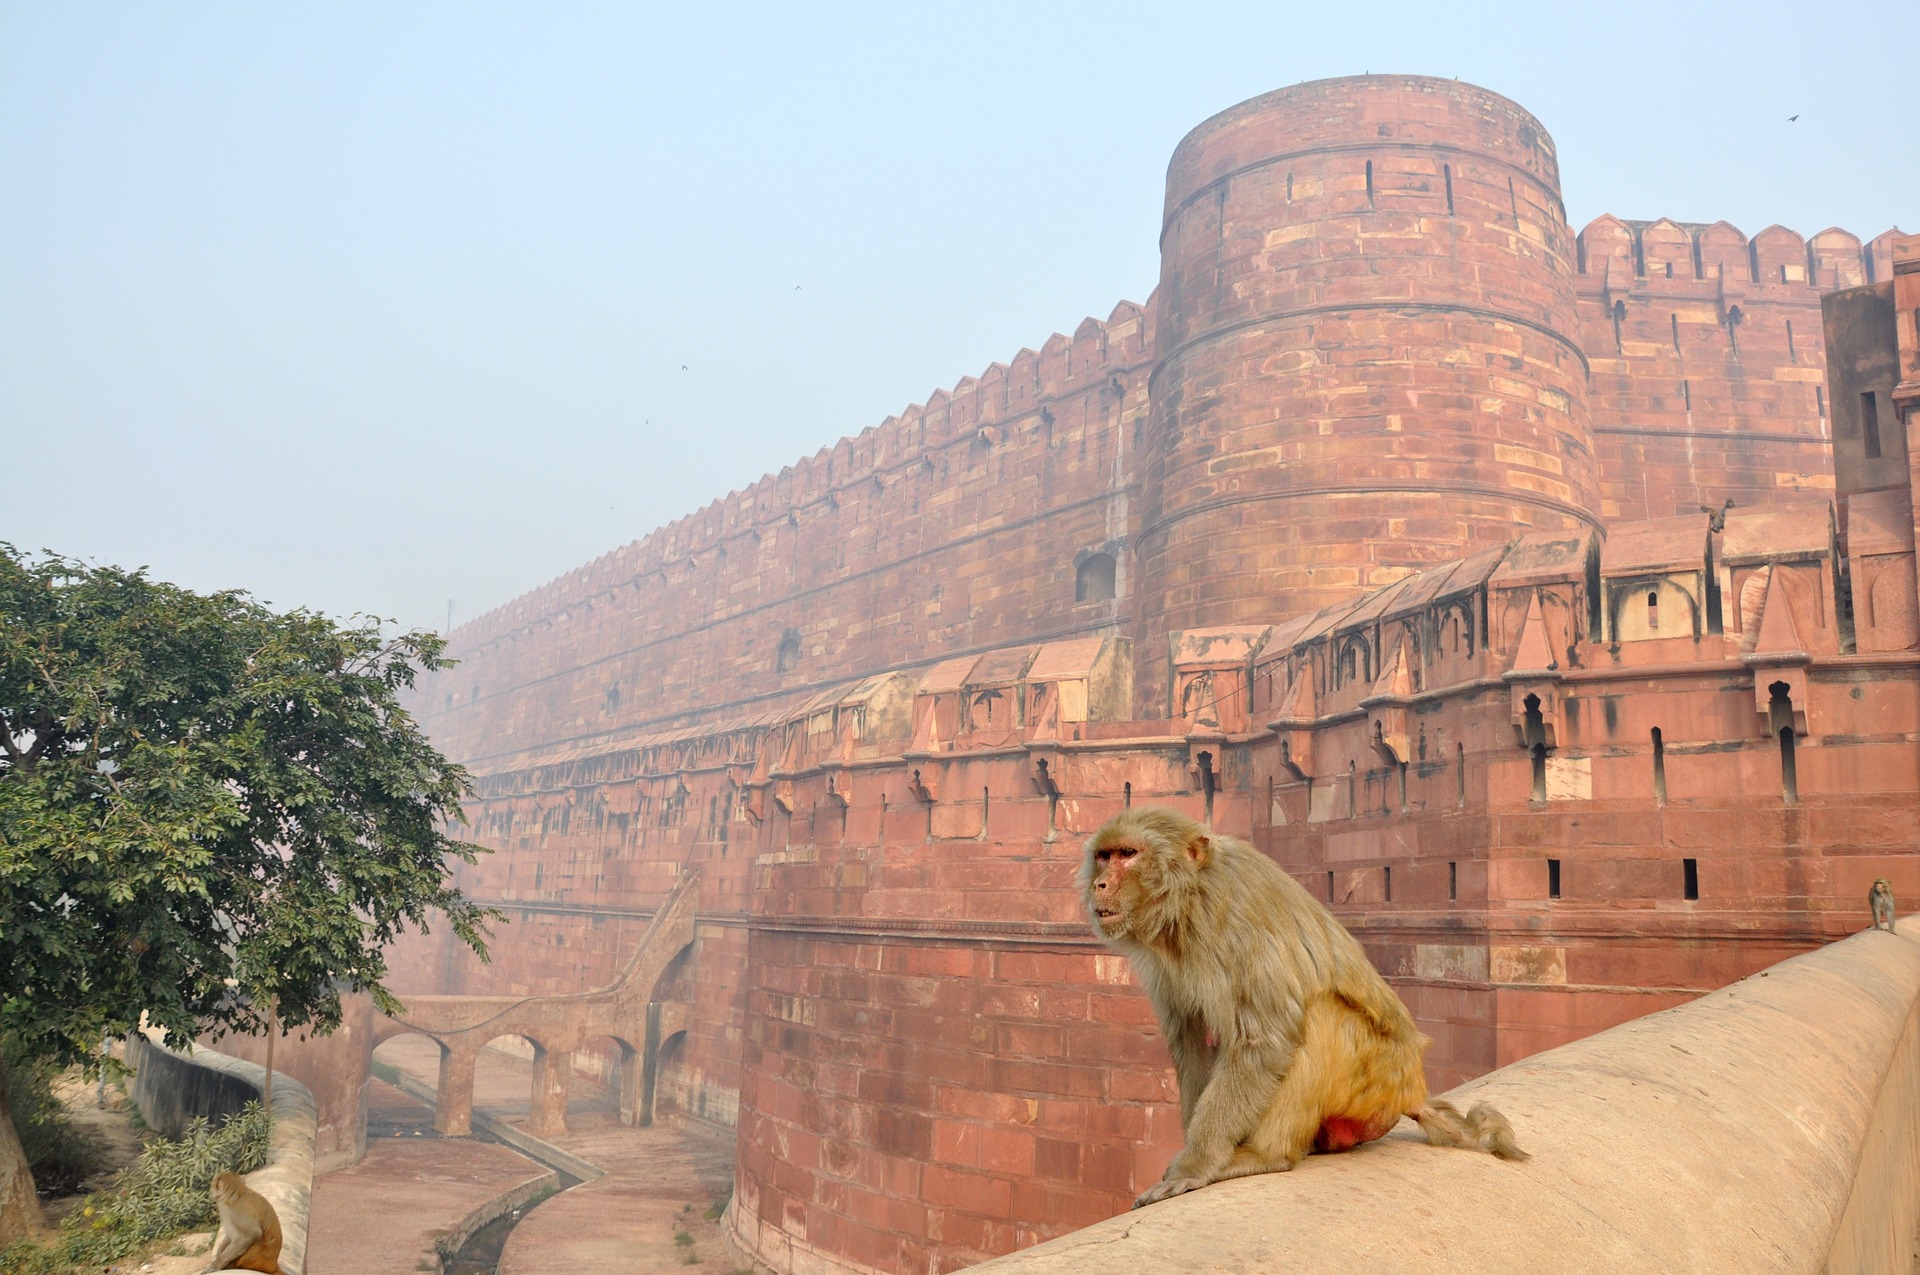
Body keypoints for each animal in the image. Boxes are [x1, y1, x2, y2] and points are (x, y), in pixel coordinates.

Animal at [1090, 806, 1520, 1205]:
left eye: (1128, 854)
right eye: (1104, 856)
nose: (1099, 883)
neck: (1189, 898)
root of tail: (1412, 1091)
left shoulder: (1233, 925)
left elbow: (1263, 1040)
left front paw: (1196, 1165)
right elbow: (1191, 1040)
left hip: (1379, 1077)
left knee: (1321, 1017)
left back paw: (1267, 1155)